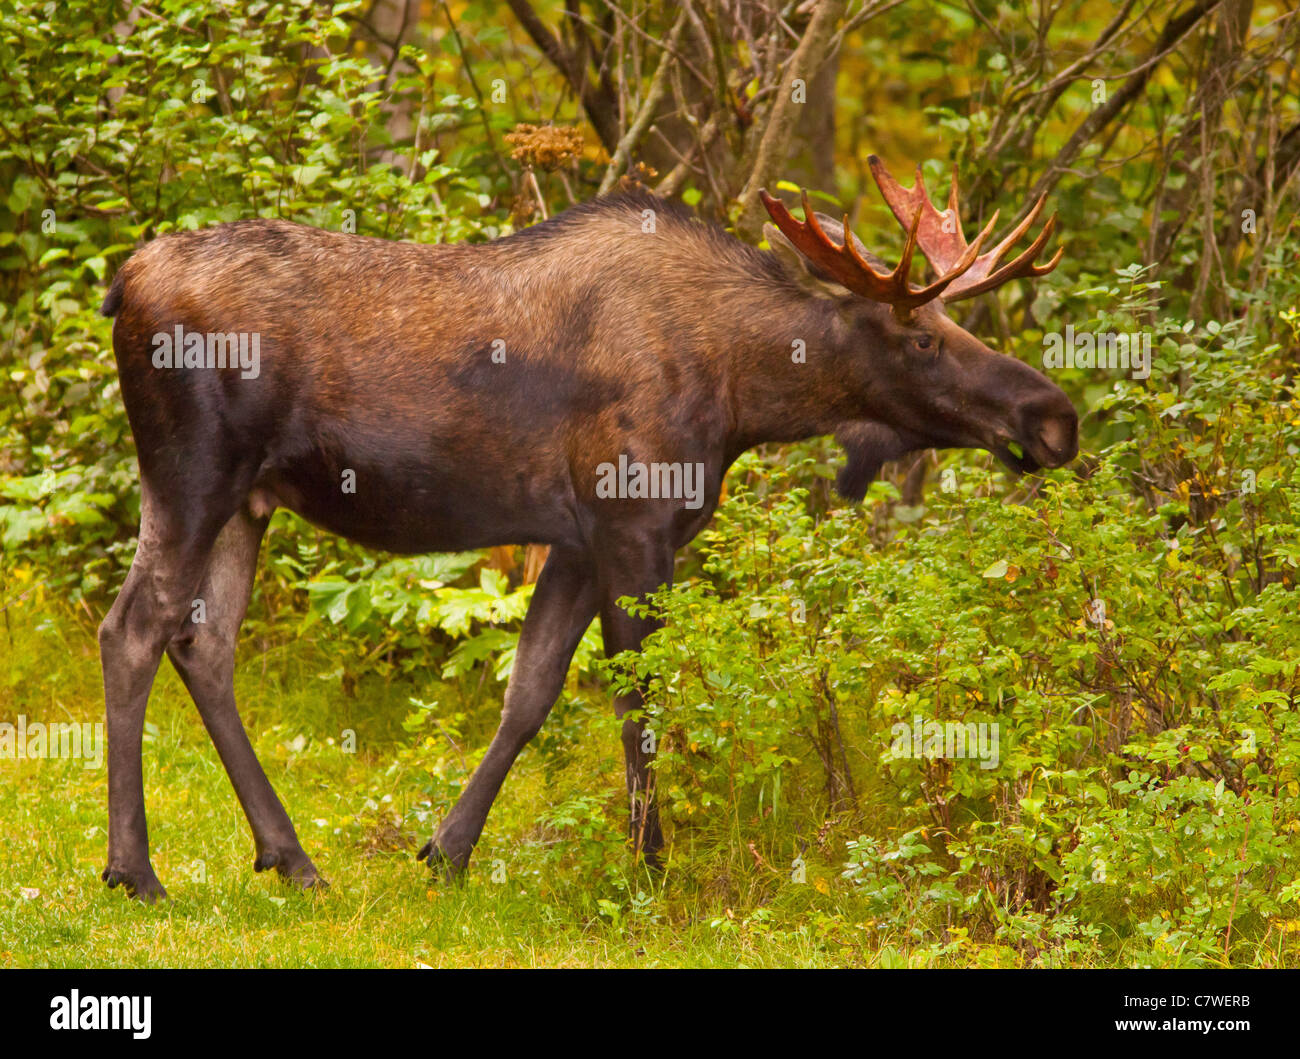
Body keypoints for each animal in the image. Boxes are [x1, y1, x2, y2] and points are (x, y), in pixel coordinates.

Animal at [98, 159, 1076, 904]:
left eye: (956, 322)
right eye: (923, 341)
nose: (1055, 417)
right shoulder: (631, 523)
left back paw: (292, 857)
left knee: (205, 644)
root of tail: (122, 284)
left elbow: (529, 695)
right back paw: (135, 870)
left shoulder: (573, 541)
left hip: (249, 498)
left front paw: (446, 851)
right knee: (133, 629)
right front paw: (651, 868)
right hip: (193, 472)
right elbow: (639, 702)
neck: (744, 395)